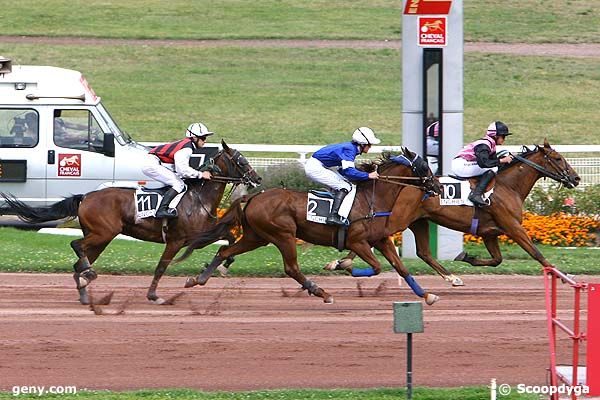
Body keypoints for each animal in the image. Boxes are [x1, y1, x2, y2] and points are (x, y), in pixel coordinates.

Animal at [1, 141, 260, 304]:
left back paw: (85, 289)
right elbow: (161, 267)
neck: (198, 198)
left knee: (79, 261)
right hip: (103, 233)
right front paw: (154, 296)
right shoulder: (178, 240)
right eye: (240, 160)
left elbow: (230, 239)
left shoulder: (202, 234)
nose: (257, 179)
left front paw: (221, 267)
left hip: (100, 238)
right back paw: (89, 276)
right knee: (76, 246)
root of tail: (86, 196)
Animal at [175, 148, 440, 304]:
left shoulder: (381, 240)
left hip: (256, 237)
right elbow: (375, 267)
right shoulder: (357, 241)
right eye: (424, 166)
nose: (437, 186)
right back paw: (321, 291)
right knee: (291, 268)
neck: (372, 198)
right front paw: (339, 265)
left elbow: (401, 268)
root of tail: (253, 196)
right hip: (283, 235)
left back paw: (197, 279)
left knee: (224, 250)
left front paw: (427, 295)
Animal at [326, 139, 580, 286]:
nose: (576, 178)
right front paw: (565, 276)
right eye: (558, 158)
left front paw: (466, 257)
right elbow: (537, 253)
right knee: (373, 236)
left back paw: (452, 277)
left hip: (419, 221)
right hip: (399, 219)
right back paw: (340, 262)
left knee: (423, 252)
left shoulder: (490, 232)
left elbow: (496, 260)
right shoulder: (512, 226)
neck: (509, 186)